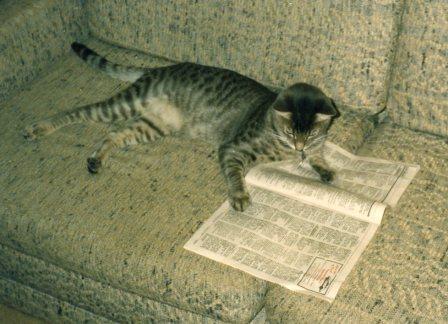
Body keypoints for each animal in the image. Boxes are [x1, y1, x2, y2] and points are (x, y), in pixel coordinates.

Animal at [23, 41, 340, 211]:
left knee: (114, 132)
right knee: (77, 112)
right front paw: (239, 196)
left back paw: (95, 160)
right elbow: (235, 175)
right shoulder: (233, 149)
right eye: (290, 131)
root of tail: (160, 68)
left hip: (152, 125)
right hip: (124, 104)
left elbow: (319, 157)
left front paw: (325, 170)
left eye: (311, 133)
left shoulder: (315, 147)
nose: (299, 147)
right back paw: (39, 128)